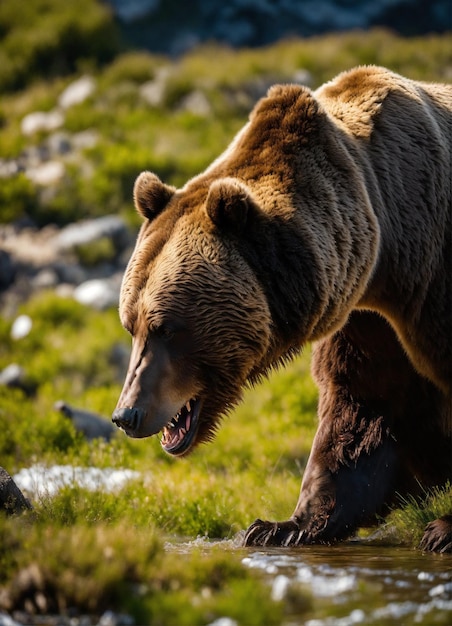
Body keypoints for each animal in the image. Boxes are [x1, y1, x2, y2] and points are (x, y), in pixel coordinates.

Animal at [113, 64, 452, 552]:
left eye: (168, 328)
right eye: (131, 325)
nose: (127, 414)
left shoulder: (429, 283)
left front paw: (442, 529)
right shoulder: (367, 318)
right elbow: (364, 406)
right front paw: (282, 525)